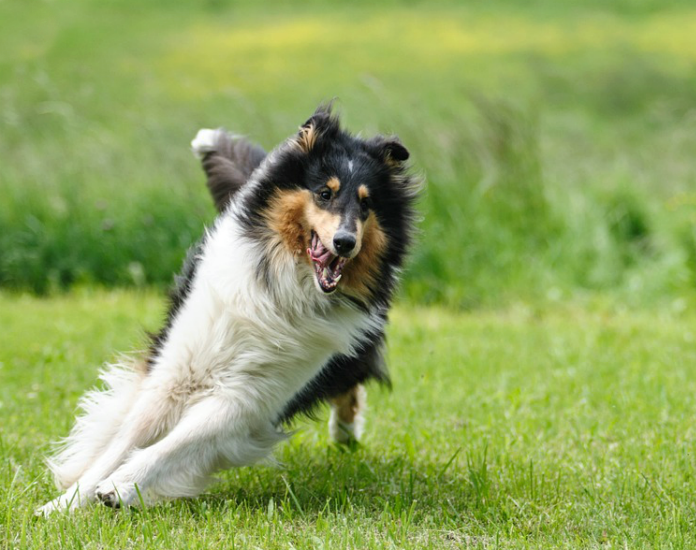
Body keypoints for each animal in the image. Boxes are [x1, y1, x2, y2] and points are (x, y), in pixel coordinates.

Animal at [38, 105, 418, 516]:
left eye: (366, 203)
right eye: (324, 193)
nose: (345, 242)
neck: (282, 289)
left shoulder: (249, 398)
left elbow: (176, 443)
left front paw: (119, 487)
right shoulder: (175, 373)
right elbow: (123, 441)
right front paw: (62, 505)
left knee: (351, 380)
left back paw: (345, 433)